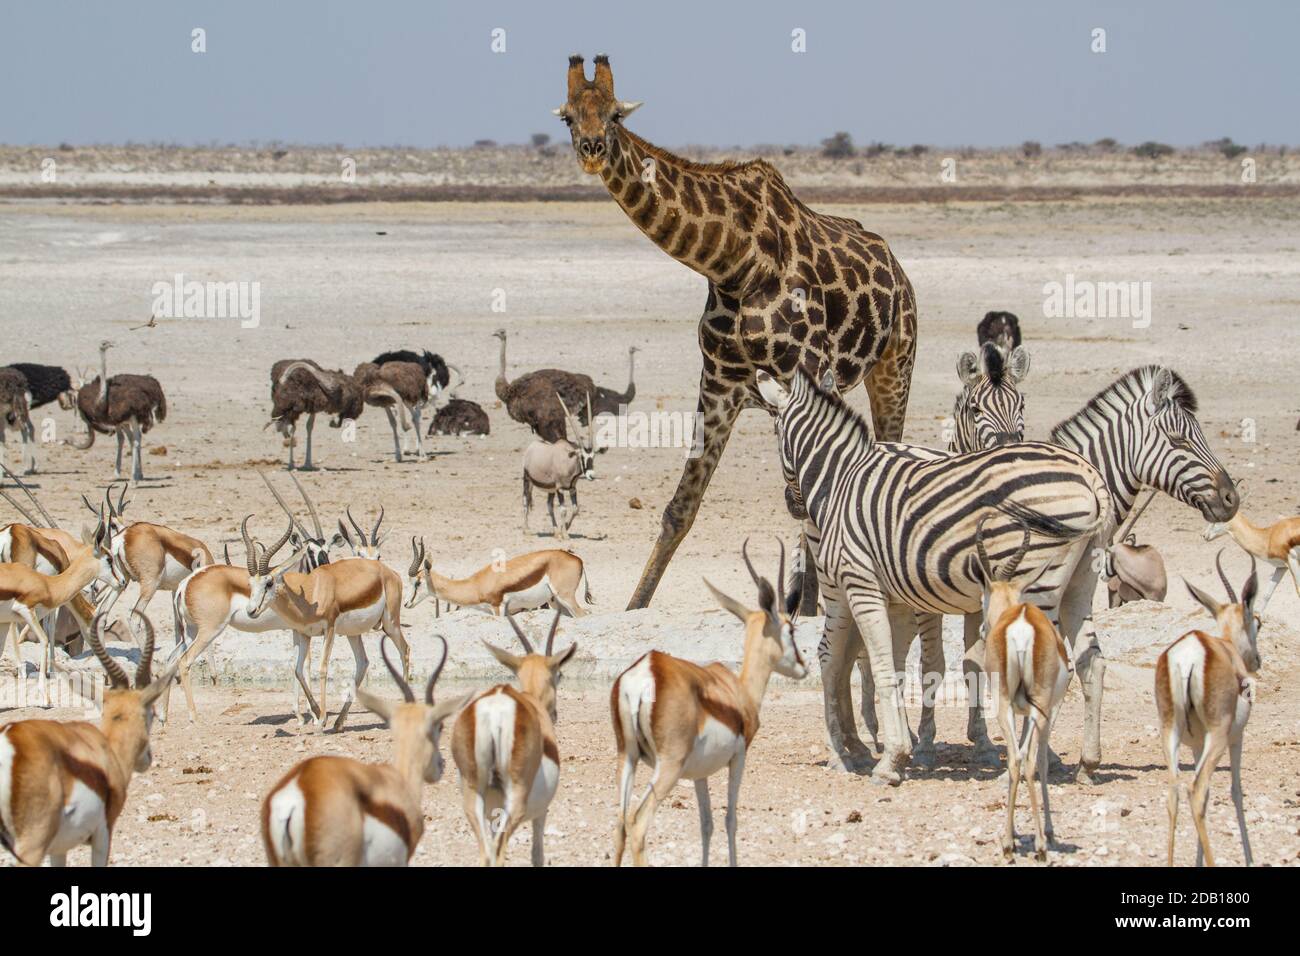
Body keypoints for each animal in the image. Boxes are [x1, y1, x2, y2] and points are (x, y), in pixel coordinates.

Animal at [553, 55, 920, 608]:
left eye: (615, 115)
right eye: (568, 118)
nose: (592, 149)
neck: (733, 262)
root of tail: (897, 268)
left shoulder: (807, 373)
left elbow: (814, 496)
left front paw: (811, 610)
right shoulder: (720, 385)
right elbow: (681, 507)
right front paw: (636, 604)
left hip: (894, 365)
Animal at [759, 369, 1112, 785]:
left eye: (775, 429)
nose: (794, 505)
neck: (841, 479)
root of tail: (1089, 475)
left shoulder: (860, 584)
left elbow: (876, 663)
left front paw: (889, 759)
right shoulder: (872, 591)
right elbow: (867, 661)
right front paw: (875, 750)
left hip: (1034, 587)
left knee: (1052, 669)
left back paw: (1022, 766)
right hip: (1079, 584)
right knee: (1092, 663)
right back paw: (1087, 763)